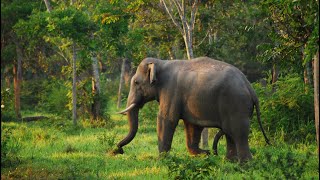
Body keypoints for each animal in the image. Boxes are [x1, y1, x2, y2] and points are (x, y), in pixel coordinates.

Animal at [114, 57, 268, 162]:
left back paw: (244, 165)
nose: (117, 150)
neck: (161, 62)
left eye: (136, 82)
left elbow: (166, 119)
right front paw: (204, 153)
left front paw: (162, 159)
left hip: (236, 104)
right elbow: (192, 125)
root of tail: (250, 87)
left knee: (238, 132)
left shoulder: (171, 91)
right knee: (230, 133)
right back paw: (230, 161)